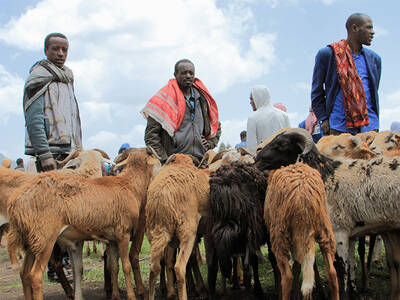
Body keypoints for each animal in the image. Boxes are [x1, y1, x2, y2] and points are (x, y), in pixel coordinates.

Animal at [5, 147, 159, 300]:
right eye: (152, 155)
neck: (129, 184)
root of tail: (16, 202)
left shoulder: (111, 239)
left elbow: (113, 267)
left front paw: (115, 295)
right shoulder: (123, 234)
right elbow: (125, 266)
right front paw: (132, 296)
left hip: (31, 241)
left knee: (24, 273)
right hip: (45, 239)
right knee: (35, 275)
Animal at [264, 163, 340, 298]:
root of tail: (303, 197)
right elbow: (300, 267)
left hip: (280, 234)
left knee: (287, 277)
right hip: (324, 230)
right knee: (332, 273)